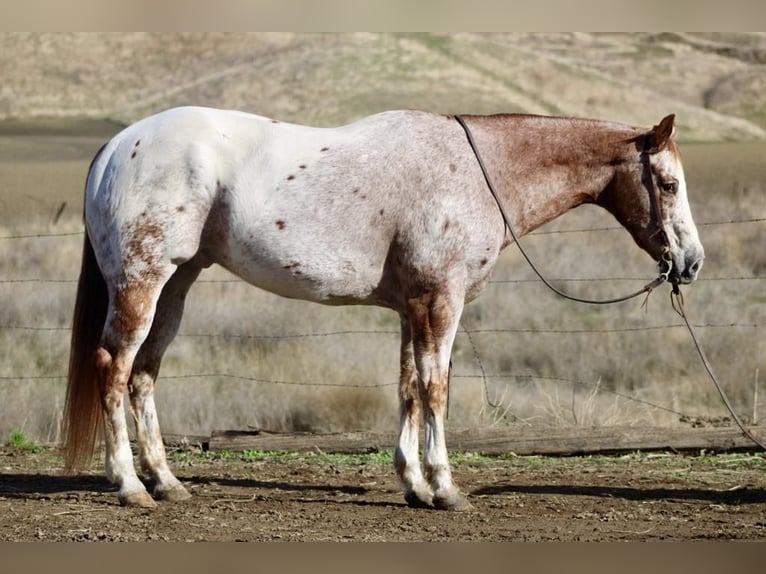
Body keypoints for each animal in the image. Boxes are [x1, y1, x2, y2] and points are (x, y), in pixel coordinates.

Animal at [63, 106, 704, 510]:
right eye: (669, 184)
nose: (692, 262)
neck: (478, 172)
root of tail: (117, 145)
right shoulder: (441, 302)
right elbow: (437, 389)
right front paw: (444, 488)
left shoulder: (411, 308)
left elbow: (409, 390)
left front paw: (413, 485)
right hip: (142, 284)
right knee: (113, 368)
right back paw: (130, 486)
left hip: (176, 286)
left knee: (144, 374)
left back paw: (167, 483)